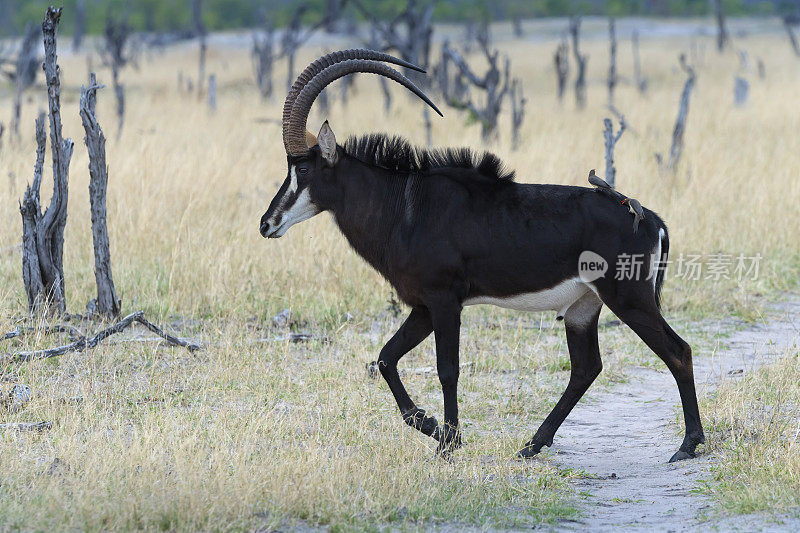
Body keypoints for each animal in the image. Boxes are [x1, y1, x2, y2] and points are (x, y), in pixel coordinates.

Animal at [260, 48, 704, 462]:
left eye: (304, 170)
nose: (267, 223)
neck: (405, 206)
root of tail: (649, 217)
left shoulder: (444, 302)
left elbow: (447, 370)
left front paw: (448, 442)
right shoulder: (423, 306)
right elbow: (385, 359)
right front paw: (431, 426)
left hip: (629, 298)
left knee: (677, 351)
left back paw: (689, 444)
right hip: (583, 306)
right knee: (585, 369)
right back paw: (532, 445)